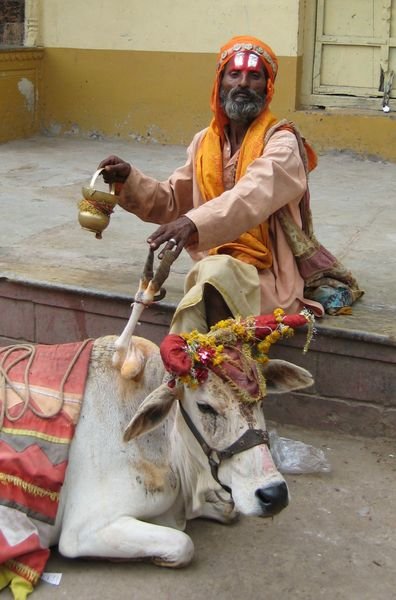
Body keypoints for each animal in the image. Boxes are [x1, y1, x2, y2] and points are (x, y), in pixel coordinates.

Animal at [0, 308, 316, 596]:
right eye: (205, 407)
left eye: (262, 400)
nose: (273, 495)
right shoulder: (84, 529)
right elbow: (183, 544)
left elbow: (229, 510)